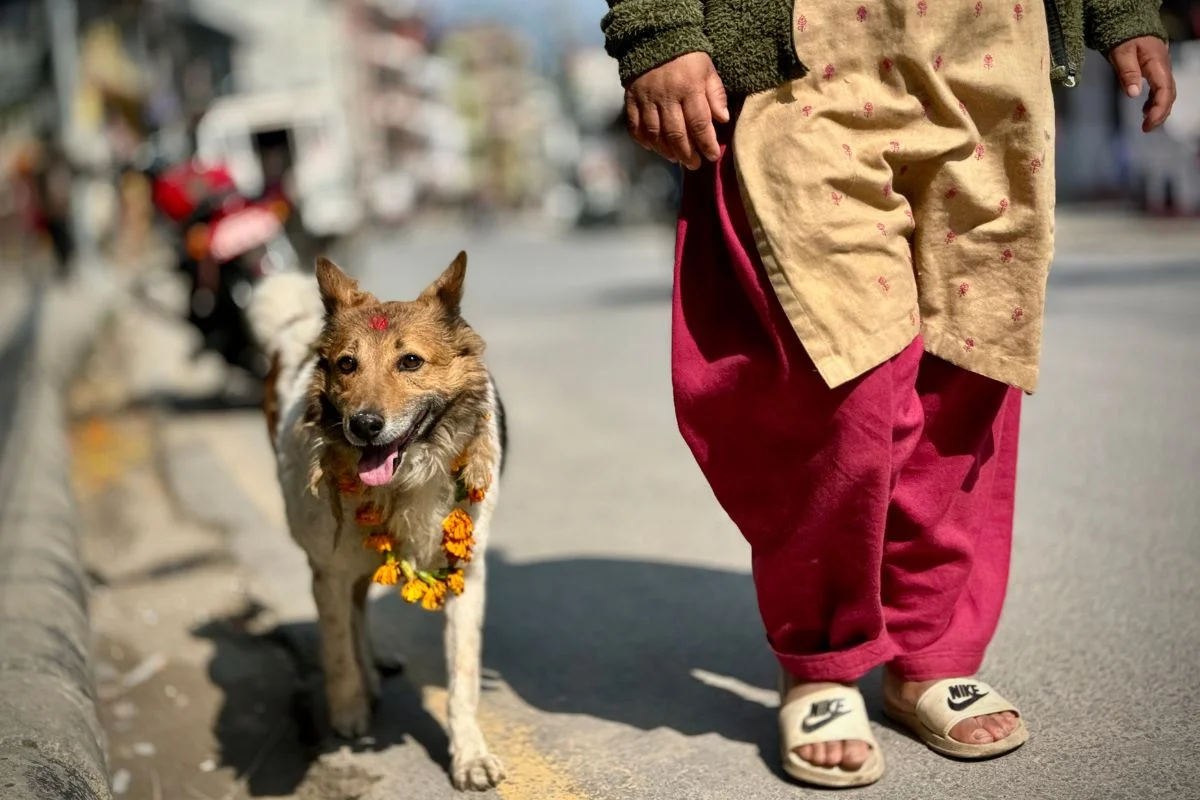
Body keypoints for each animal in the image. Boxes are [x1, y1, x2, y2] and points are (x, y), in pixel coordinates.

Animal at [248, 253, 506, 791]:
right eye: (348, 364)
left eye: (410, 362)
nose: (364, 425)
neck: (403, 483)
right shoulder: (327, 569)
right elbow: (336, 647)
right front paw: (348, 711)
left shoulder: (467, 574)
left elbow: (463, 677)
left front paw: (470, 756)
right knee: (352, 610)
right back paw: (366, 676)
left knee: (363, 602)